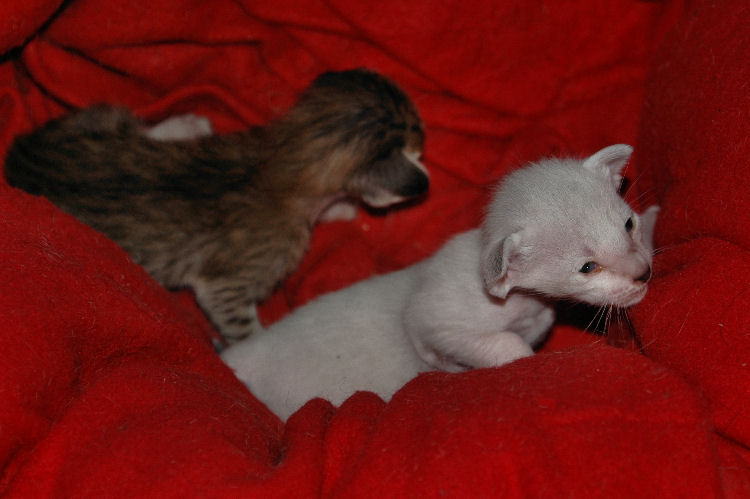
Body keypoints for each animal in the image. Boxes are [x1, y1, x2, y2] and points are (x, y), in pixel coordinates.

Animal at [3, 69, 428, 344]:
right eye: (417, 150)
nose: (426, 175)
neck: (283, 157)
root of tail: (17, 164)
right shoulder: (226, 285)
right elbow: (243, 327)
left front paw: (340, 208)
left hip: (91, 119)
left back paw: (183, 126)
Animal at [220, 144, 659, 420]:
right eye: (587, 267)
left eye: (628, 225)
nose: (642, 273)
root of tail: (244, 354)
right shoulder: (433, 320)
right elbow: (504, 345)